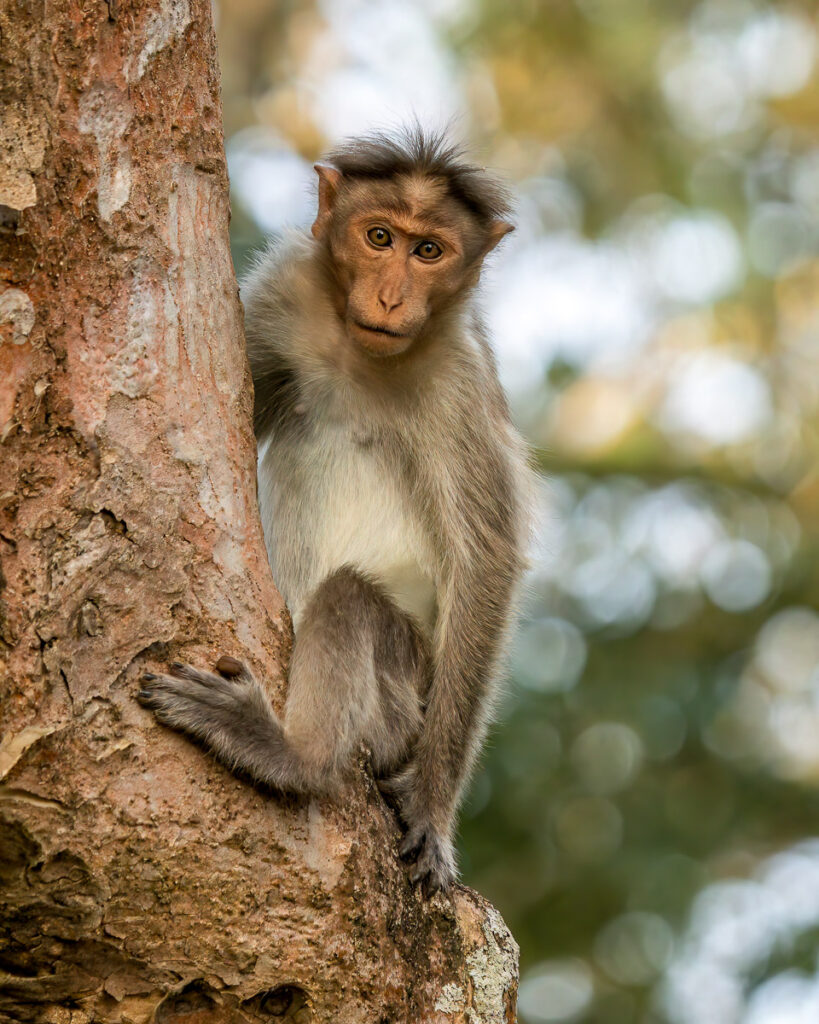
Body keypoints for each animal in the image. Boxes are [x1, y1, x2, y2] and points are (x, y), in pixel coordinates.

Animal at [138, 128, 533, 894]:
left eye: (428, 251)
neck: (360, 356)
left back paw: (292, 755)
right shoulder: (284, 294)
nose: (389, 295)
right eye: (379, 237)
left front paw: (431, 807)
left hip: (399, 704)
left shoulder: (460, 381)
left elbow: (486, 562)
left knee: (350, 599)